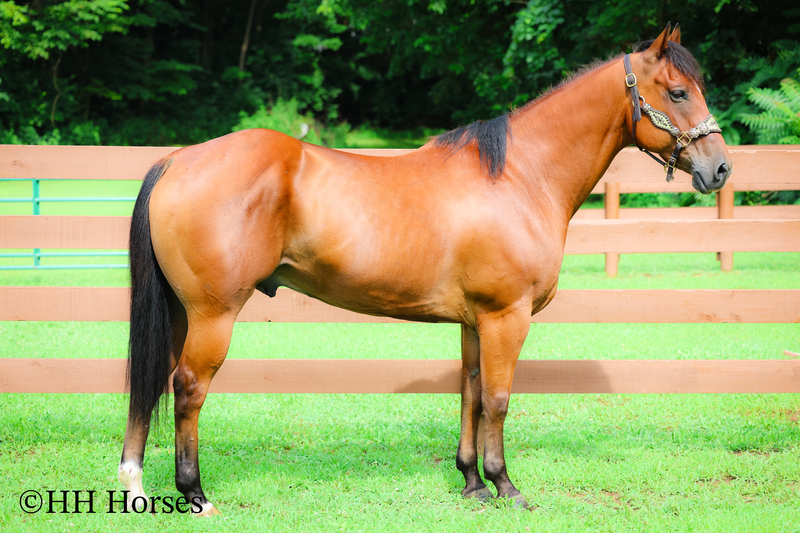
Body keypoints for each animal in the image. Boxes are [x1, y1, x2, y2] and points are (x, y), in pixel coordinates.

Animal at [118, 25, 731, 515]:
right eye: (678, 91)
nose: (721, 168)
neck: (519, 175)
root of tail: (177, 159)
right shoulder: (507, 317)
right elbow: (498, 400)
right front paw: (506, 487)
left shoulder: (475, 321)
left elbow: (470, 392)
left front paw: (472, 483)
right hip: (213, 314)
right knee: (188, 388)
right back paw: (194, 493)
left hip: (180, 313)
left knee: (151, 384)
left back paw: (135, 484)